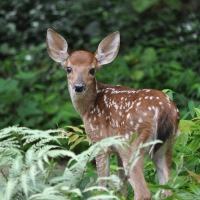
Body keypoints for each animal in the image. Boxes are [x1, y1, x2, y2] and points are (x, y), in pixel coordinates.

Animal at [46, 28, 180, 199]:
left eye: (92, 70)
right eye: (69, 68)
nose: (78, 86)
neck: (88, 109)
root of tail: (165, 110)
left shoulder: (99, 141)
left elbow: (102, 183)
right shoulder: (115, 149)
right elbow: (122, 186)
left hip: (132, 143)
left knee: (143, 192)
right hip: (166, 146)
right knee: (168, 189)